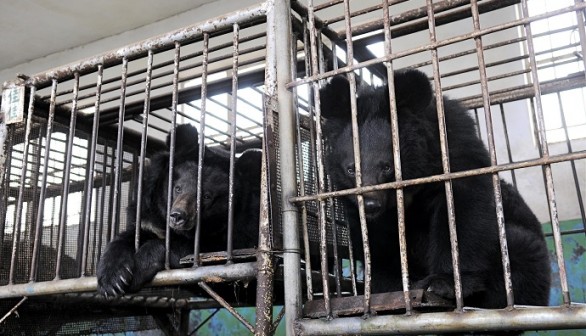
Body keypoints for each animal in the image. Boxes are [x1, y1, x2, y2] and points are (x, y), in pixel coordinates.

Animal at [97, 124, 258, 296]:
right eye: (178, 188)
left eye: (207, 196)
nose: (178, 216)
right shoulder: (148, 211)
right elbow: (130, 235)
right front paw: (113, 280)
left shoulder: (244, 230)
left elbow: (200, 251)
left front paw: (139, 269)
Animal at [318, 69, 548, 312]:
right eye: (351, 169)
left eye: (387, 167)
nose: (371, 205)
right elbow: (376, 243)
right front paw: (389, 288)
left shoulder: (455, 146)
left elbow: (463, 210)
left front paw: (443, 283)